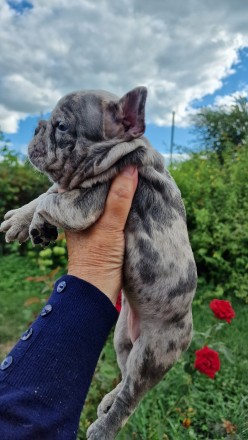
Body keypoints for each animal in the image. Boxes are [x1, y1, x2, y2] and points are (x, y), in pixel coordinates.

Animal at [0, 87, 198, 440]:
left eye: (61, 126)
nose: (37, 126)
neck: (124, 150)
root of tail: (188, 333)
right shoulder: (72, 191)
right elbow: (47, 191)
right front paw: (22, 219)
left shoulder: (87, 203)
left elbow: (50, 196)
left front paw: (37, 221)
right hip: (122, 340)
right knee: (124, 378)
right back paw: (107, 399)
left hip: (152, 352)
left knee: (132, 397)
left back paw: (104, 428)